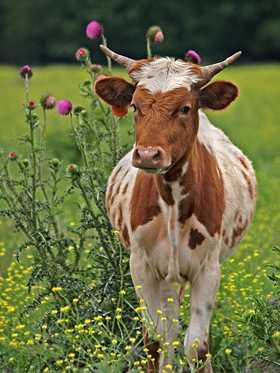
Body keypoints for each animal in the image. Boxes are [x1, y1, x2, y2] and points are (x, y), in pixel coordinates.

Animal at [95, 46, 256, 372]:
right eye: (134, 106)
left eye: (184, 107)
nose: (147, 155)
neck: (172, 201)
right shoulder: (141, 267)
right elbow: (155, 340)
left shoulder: (208, 269)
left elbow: (197, 345)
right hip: (167, 276)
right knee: (167, 332)